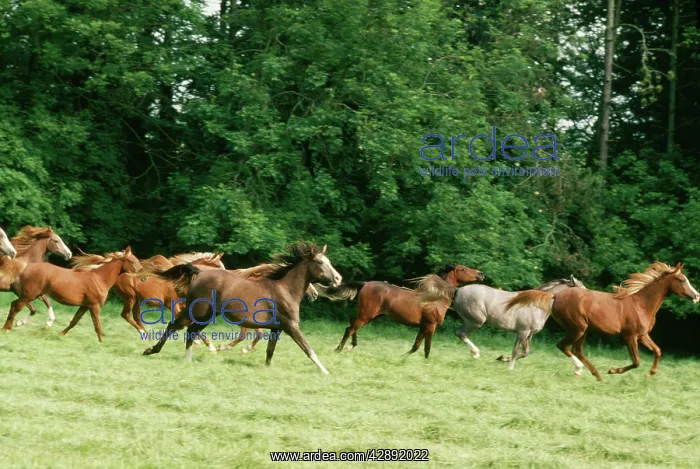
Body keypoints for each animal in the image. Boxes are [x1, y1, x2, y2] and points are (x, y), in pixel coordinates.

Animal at [2, 248, 142, 341]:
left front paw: (61, 334)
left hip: (31, 295)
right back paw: (6, 328)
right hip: (29, 295)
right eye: (132, 260)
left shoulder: (85, 306)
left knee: (15, 304)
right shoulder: (94, 306)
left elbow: (74, 321)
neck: (100, 279)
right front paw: (102, 342)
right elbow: (97, 325)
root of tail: (26, 267)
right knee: (16, 307)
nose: (142, 276)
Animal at [142, 242, 341, 374]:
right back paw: (154, 351)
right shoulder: (291, 326)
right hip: (198, 311)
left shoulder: (277, 328)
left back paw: (184, 358)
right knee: (177, 327)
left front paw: (266, 369)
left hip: (206, 315)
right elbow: (308, 349)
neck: (285, 289)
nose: (338, 279)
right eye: (320, 263)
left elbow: (270, 351)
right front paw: (325, 371)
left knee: (188, 330)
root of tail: (198, 273)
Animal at [315, 264, 484, 358]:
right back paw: (339, 349)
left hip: (370, 315)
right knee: (350, 328)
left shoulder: (423, 326)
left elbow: (416, 346)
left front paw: (402, 358)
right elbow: (427, 348)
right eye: (463, 269)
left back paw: (350, 346)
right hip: (366, 315)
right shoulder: (431, 326)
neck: (435, 298)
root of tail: (365, 283)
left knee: (350, 325)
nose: (481, 274)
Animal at [416, 274, 585, 370]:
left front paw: (502, 358)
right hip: (476, 321)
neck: (536, 305)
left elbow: (525, 353)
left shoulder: (529, 334)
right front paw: (510, 368)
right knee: (459, 332)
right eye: (581, 289)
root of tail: (457, 291)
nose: (585, 303)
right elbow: (516, 351)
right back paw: (475, 353)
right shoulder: (522, 332)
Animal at [506, 262, 699, 380]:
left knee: (577, 350)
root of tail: (555, 296)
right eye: (681, 280)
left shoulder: (643, 335)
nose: (696, 296)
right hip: (578, 328)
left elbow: (658, 351)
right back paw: (586, 371)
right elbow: (636, 361)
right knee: (564, 346)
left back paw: (596, 375)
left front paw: (650, 374)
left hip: (583, 330)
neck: (641, 305)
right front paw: (614, 370)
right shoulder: (630, 337)